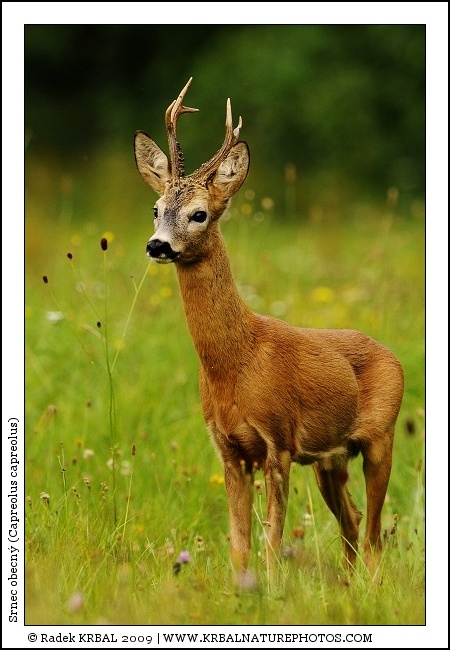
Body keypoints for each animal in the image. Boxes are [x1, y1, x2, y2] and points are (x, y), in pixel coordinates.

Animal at [134, 78, 404, 581]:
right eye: (156, 208)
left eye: (200, 213)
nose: (157, 245)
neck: (236, 362)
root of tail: (390, 353)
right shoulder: (228, 449)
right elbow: (240, 544)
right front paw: (242, 590)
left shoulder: (278, 441)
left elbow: (271, 542)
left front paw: (273, 591)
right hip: (331, 458)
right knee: (354, 521)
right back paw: (348, 587)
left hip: (381, 437)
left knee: (376, 534)